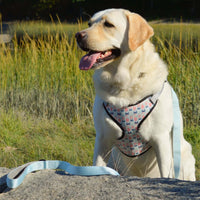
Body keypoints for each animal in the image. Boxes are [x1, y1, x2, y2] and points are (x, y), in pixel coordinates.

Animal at [76, 8, 196, 181]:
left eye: (108, 24)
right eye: (89, 23)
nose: (78, 35)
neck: (124, 85)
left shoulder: (161, 138)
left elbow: (165, 172)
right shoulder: (103, 138)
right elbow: (96, 166)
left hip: (184, 155)